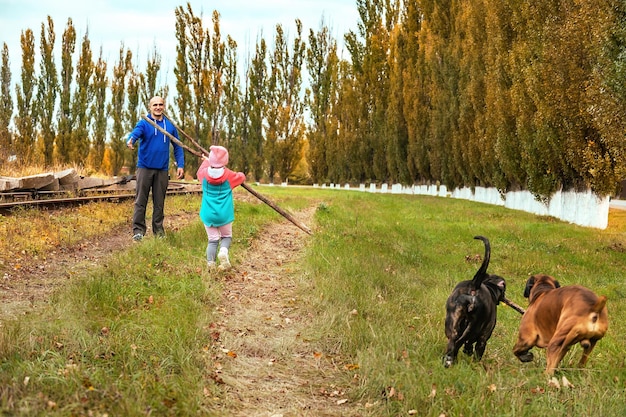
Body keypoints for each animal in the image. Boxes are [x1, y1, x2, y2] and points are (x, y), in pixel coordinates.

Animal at [442, 236, 504, 366]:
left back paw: (448, 360)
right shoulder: (483, 338)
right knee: (459, 343)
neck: (490, 288)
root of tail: (475, 284)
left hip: (452, 321)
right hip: (473, 326)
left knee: (452, 341)